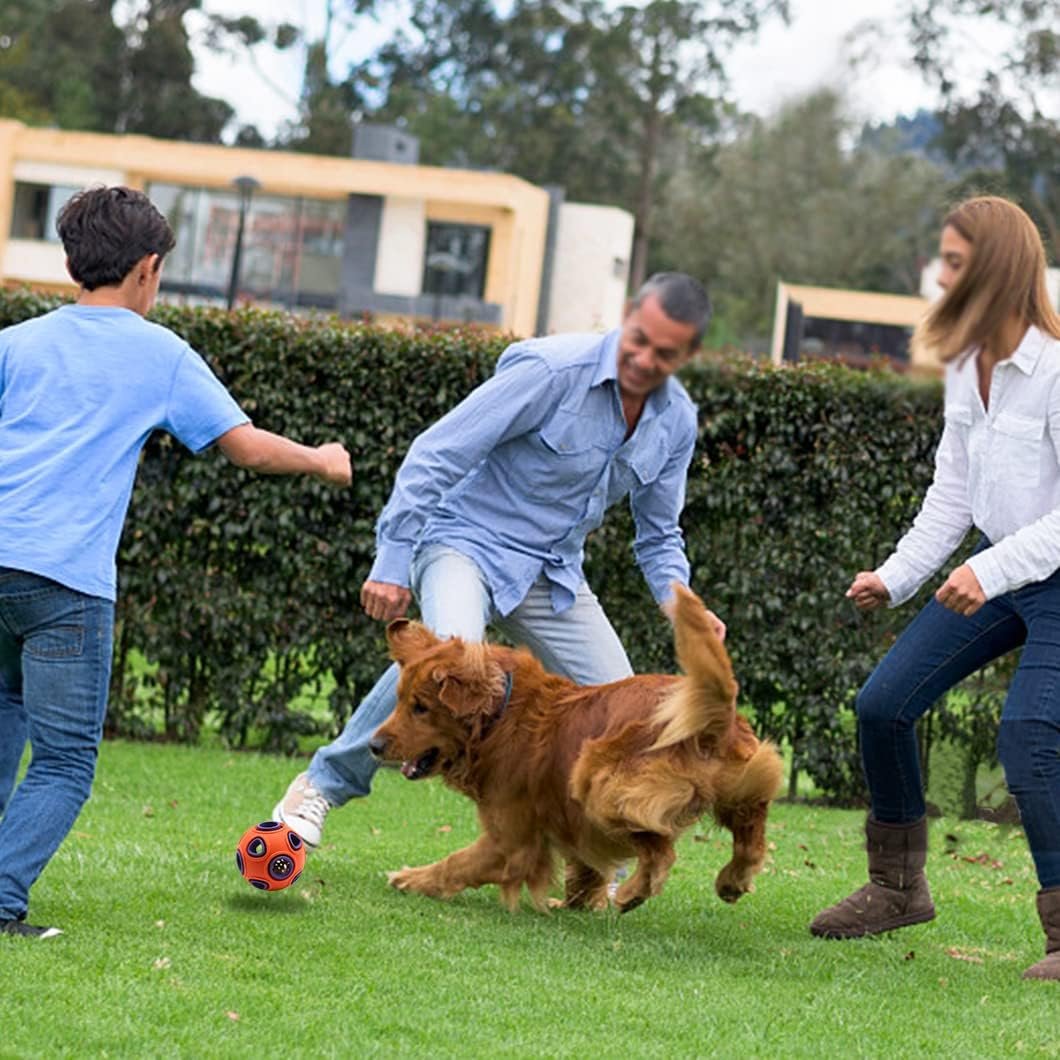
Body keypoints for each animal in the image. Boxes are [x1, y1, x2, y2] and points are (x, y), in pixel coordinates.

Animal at [368, 580, 784, 911]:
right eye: (400, 700)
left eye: (420, 708)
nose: (373, 745)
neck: (499, 717)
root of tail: (711, 720)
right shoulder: (569, 824)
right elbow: (586, 864)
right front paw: (578, 902)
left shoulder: (511, 841)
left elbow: (456, 863)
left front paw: (411, 878)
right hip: (738, 785)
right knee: (751, 838)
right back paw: (731, 880)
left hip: (599, 781)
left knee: (661, 850)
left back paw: (633, 892)